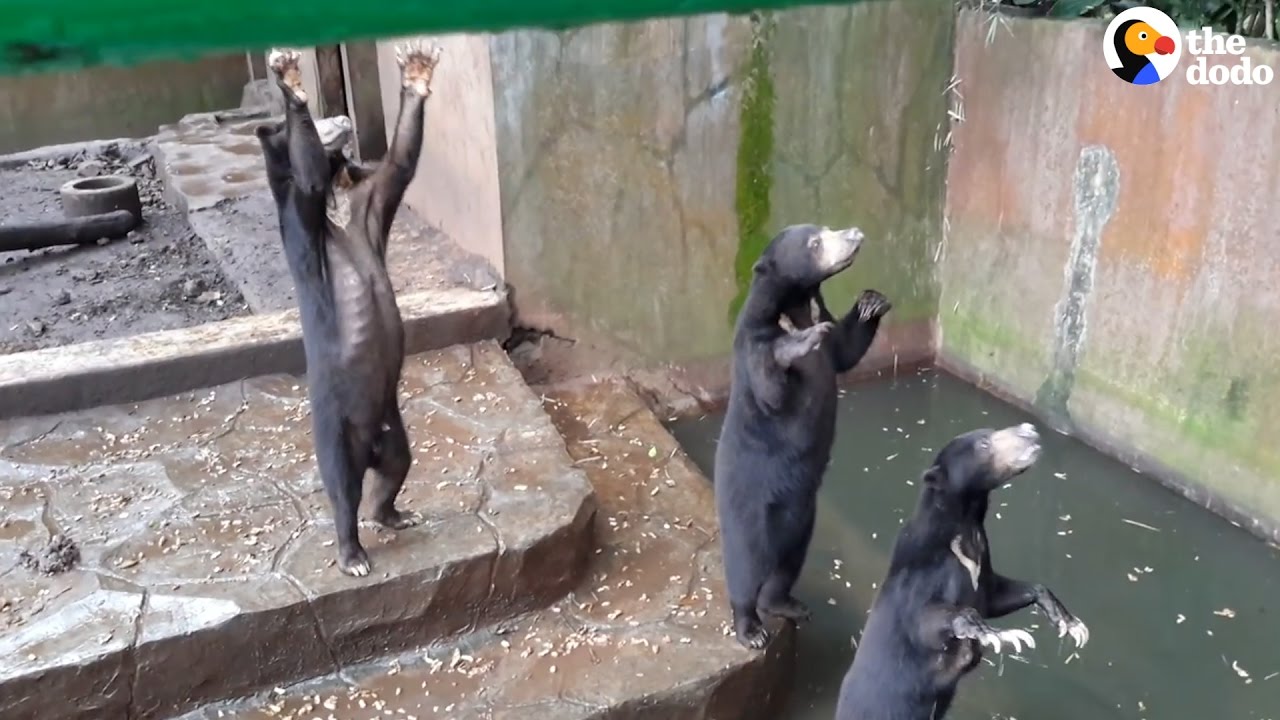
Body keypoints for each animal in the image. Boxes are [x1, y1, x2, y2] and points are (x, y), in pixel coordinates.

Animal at [714, 223, 892, 650]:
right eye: (815, 242)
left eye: (826, 229)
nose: (854, 233)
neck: (793, 304)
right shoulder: (752, 342)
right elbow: (771, 390)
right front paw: (800, 341)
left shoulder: (825, 329)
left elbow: (844, 350)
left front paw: (870, 302)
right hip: (749, 511)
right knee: (745, 567)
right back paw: (750, 628)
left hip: (803, 521)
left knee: (786, 567)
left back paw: (787, 604)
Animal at [835, 423, 1090, 720]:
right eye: (983, 444)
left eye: (991, 430)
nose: (1029, 429)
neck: (965, 527)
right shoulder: (922, 568)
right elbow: (924, 619)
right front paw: (1000, 635)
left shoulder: (982, 563)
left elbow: (994, 596)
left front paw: (1070, 624)